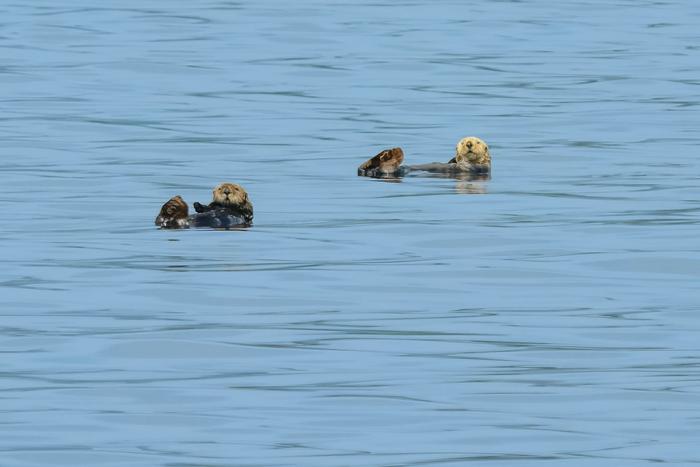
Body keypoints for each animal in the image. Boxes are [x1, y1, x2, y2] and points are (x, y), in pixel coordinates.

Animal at [357, 137, 491, 178]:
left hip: (390, 171)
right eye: (462, 142)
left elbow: (465, 165)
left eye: (478, 142)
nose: (469, 143)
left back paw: (391, 155)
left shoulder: (480, 167)